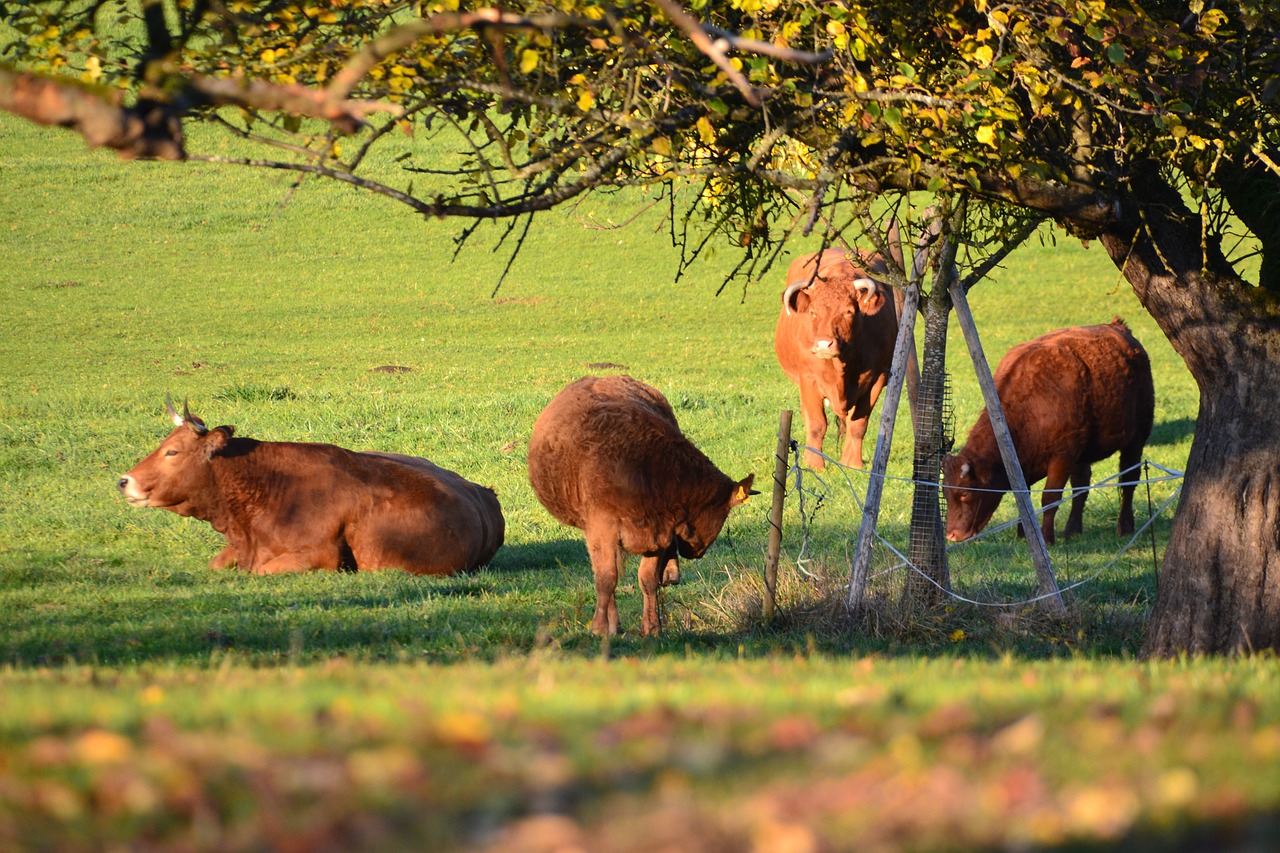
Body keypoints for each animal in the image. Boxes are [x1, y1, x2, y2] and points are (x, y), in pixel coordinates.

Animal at [527, 376, 752, 635]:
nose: (696, 552)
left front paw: (652, 626)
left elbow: (647, 580)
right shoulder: (601, 528)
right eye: (725, 514)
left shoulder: (660, 533)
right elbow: (606, 579)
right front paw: (599, 628)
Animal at [768, 245, 901, 468]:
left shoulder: (877, 378)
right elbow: (816, 423)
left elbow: (858, 424)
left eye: (848, 312)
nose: (824, 344)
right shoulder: (809, 379)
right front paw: (814, 464)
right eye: (813, 312)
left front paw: (853, 463)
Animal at [942, 318, 1162, 545]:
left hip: (1136, 438)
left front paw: (1046, 537)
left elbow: (1050, 498)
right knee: (1081, 486)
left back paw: (1125, 527)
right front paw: (1024, 535)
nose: (952, 535)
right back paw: (1072, 529)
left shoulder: (1061, 457)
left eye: (965, 494)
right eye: (945, 494)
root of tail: (1118, 327)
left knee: (1129, 480)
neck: (1030, 405)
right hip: (1083, 453)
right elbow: (1024, 498)